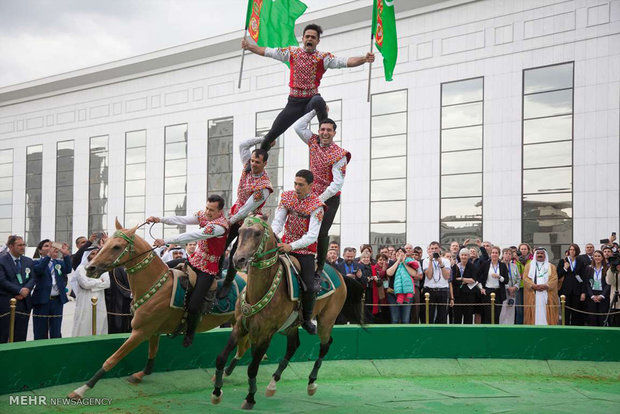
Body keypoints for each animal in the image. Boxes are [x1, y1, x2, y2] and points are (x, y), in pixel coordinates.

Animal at [65, 218, 245, 400]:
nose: (90, 268)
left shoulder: (140, 331)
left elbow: (112, 359)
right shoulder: (153, 331)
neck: (157, 284)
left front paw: (81, 390)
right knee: (243, 347)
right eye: (105, 243)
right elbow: (151, 358)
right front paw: (139, 375)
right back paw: (226, 372)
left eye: (116, 246)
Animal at [211, 217, 364, 410]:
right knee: (293, 346)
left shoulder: (265, 335)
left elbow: (252, 368)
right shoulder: (240, 326)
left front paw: (250, 398)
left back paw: (311, 383)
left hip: (326, 320)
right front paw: (217, 392)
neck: (259, 291)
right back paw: (272, 383)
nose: (239, 259)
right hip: (290, 326)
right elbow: (221, 358)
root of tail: (340, 274)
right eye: (240, 232)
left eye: (257, 233)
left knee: (325, 344)